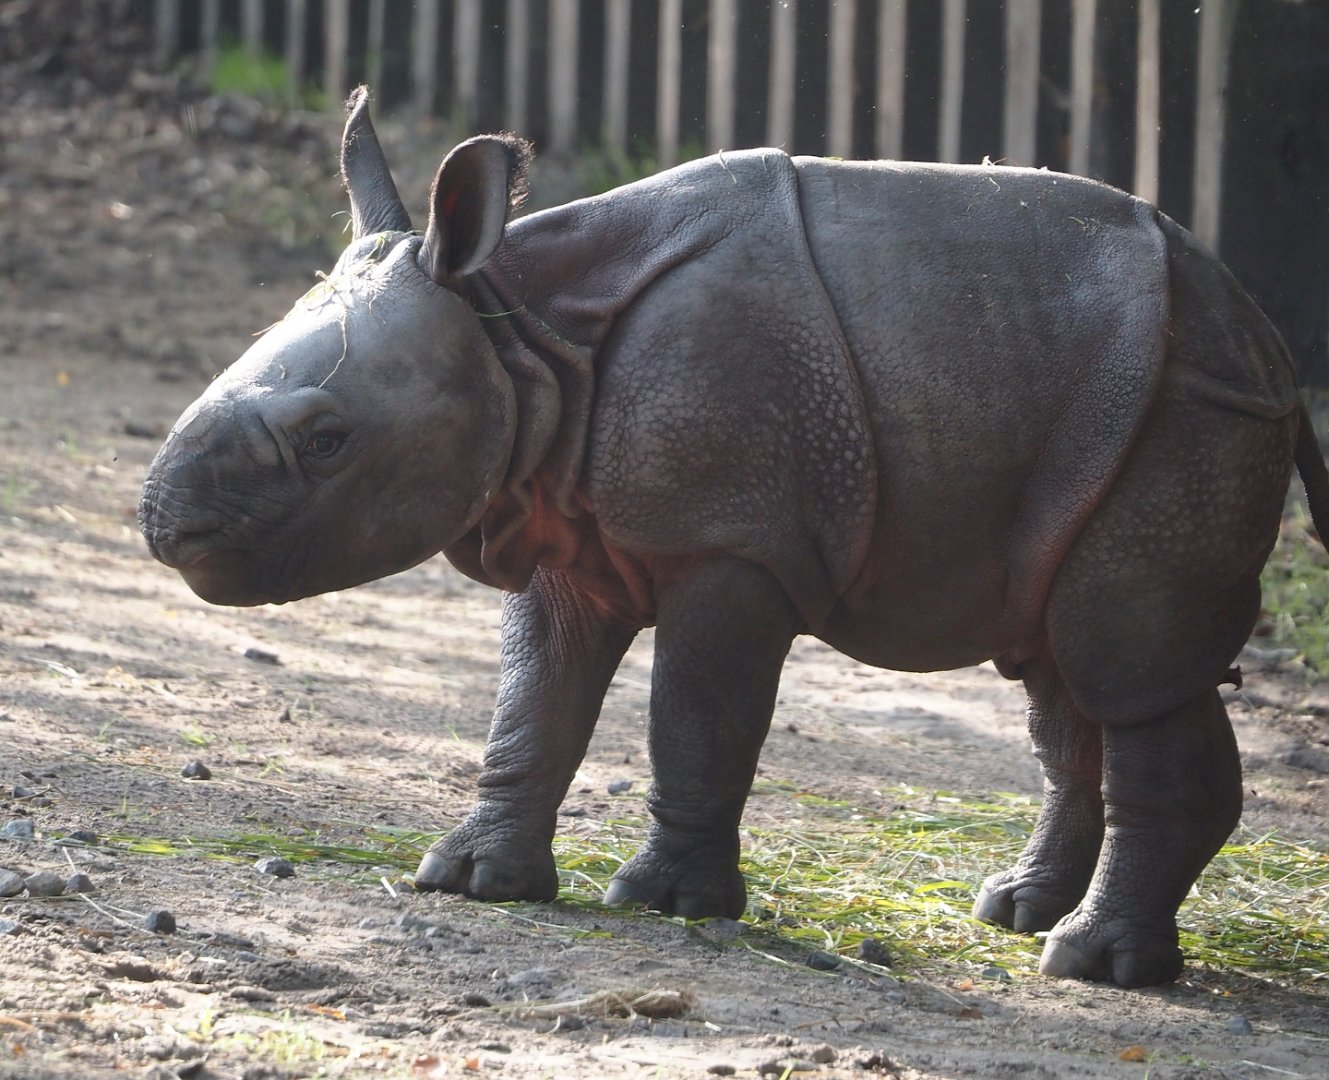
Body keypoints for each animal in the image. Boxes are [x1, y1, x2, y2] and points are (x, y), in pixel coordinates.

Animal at [140, 88, 1329, 988]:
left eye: (326, 440)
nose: (162, 523)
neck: (527, 333)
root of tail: (1262, 327)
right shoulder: (560, 523)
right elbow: (535, 705)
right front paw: (471, 881)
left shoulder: (732, 543)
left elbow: (696, 718)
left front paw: (666, 904)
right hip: (1101, 407)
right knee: (1058, 668)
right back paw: (1017, 912)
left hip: (1184, 406)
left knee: (1123, 657)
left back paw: (1093, 966)